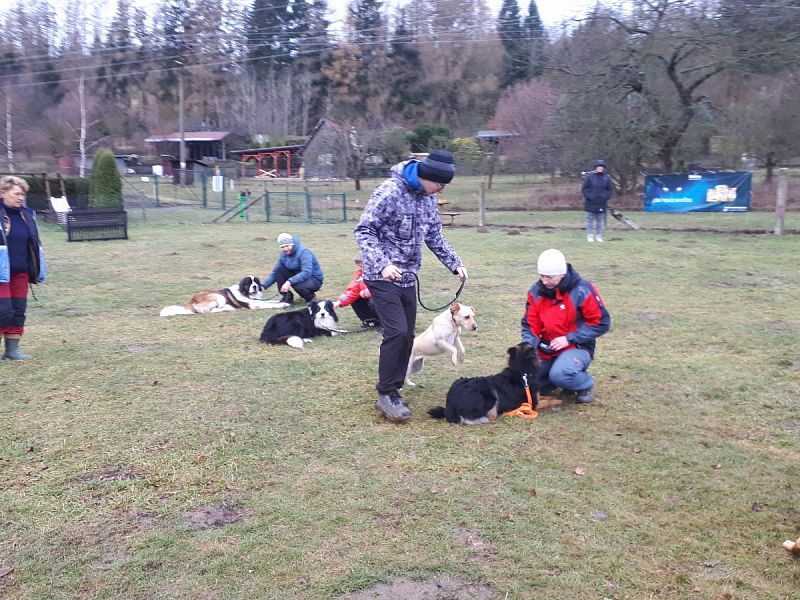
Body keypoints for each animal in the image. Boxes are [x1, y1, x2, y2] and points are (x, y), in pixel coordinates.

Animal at [161, 274, 290, 316]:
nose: (255, 286)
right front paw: (283, 305)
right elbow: (268, 304)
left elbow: (270, 301)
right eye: (249, 283)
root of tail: (190, 302)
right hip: (219, 297)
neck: (244, 292)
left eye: (256, 282)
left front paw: (282, 301)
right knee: (208, 311)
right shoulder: (254, 304)